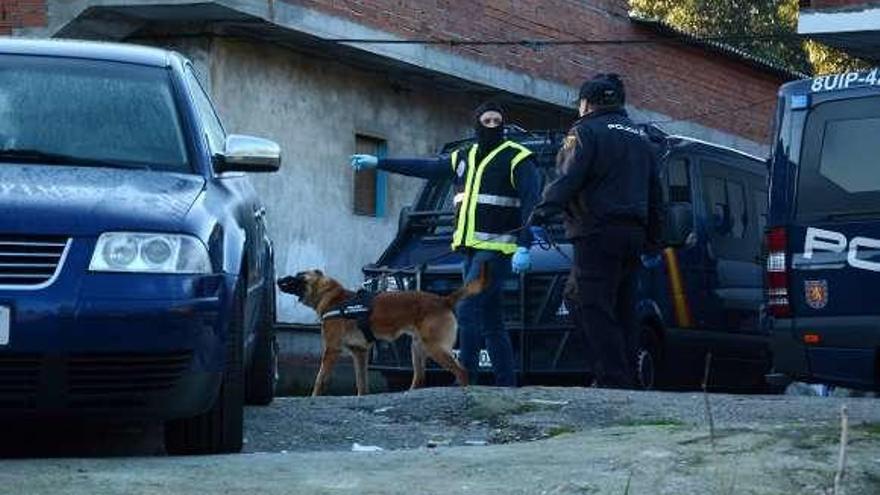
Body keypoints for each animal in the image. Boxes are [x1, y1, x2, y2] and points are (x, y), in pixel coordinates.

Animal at [276, 266, 488, 398]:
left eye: (299, 275)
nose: (278, 279)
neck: (333, 297)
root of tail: (444, 300)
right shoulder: (360, 353)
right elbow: (362, 383)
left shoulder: (331, 350)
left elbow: (320, 379)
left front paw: (313, 397)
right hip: (417, 348)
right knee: (420, 378)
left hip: (435, 347)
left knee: (461, 371)